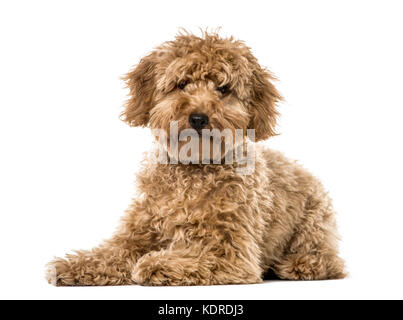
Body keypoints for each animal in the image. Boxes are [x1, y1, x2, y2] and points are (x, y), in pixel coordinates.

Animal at [45, 31, 348, 284]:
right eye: (182, 83)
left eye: (223, 89)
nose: (199, 117)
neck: (193, 171)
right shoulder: (135, 235)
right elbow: (110, 253)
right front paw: (70, 265)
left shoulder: (231, 253)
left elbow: (192, 258)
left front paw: (155, 264)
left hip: (314, 223)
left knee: (328, 261)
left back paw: (298, 264)